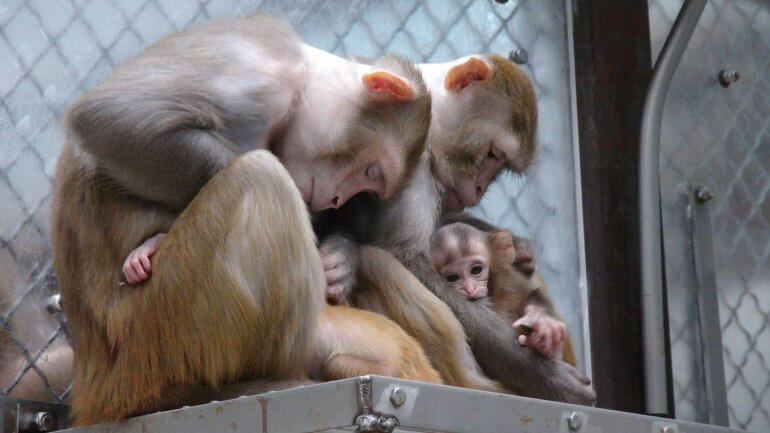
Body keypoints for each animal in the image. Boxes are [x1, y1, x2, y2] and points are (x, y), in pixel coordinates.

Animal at [51, 14, 432, 426]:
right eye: (371, 170)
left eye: (370, 180)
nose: (336, 200)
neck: (304, 81)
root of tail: (95, 380)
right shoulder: (262, 78)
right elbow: (111, 117)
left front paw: (340, 259)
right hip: (159, 327)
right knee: (263, 176)